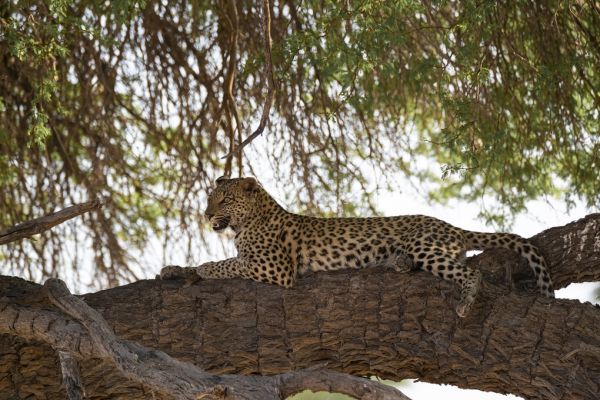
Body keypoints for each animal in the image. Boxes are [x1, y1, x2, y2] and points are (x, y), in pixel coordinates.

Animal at [159, 177, 552, 318]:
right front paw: (173, 269)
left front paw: (204, 268)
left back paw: (466, 302)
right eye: (209, 197)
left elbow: (228, 263)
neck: (248, 221)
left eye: (224, 198)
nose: (206, 214)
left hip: (426, 246)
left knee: (470, 272)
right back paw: (397, 263)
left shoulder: (275, 268)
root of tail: (447, 224)